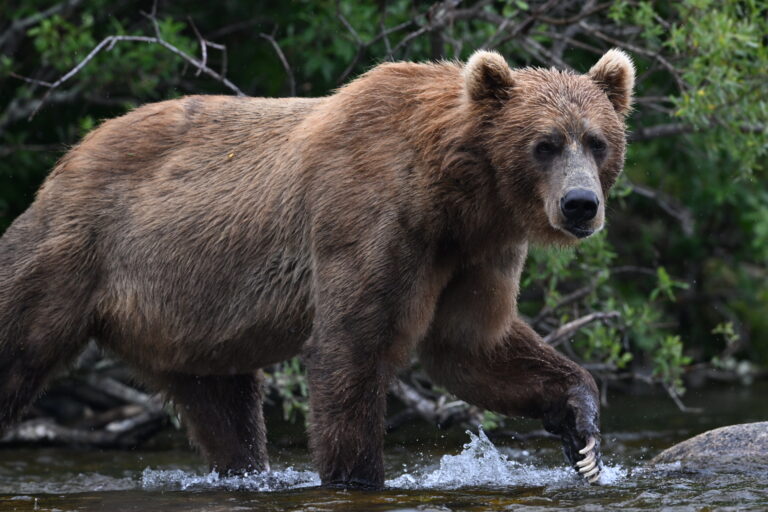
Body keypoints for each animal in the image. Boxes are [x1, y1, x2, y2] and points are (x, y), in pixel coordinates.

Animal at [0, 48, 634, 488]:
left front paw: (583, 434)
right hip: (75, 252)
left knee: (225, 405)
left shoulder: (474, 252)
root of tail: (66, 159)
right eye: (544, 143)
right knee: (19, 340)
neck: (453, 193)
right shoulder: (368, 219)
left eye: (596, 141)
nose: (580, 204)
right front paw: (358, 475)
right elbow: (351, 349)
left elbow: (473, 346)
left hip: (186, 317)